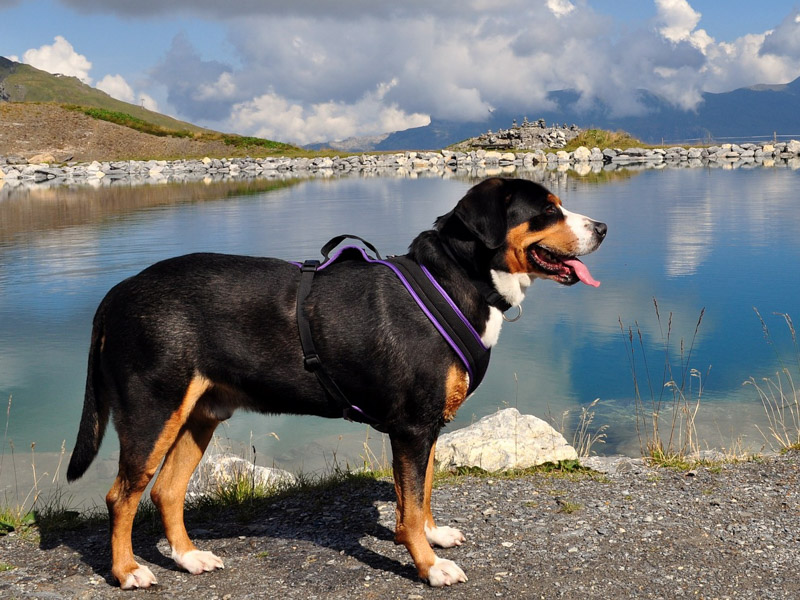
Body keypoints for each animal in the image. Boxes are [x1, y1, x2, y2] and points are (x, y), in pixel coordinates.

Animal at [67, 176, 608, 588]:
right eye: (547, 211)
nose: (603, 227)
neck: (454, 281)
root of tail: (116, 294)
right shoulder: (412, 428)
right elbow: (411, 506)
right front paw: (429, 566)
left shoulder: (428, 427)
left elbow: (422, 493)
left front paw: (432, 538)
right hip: (151, 414)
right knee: (122, 497)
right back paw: (127, 571)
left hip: (198, 416)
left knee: (166, 492)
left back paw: (188, 557)